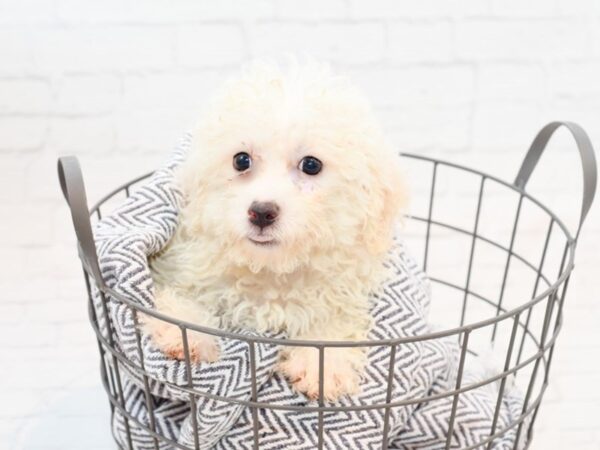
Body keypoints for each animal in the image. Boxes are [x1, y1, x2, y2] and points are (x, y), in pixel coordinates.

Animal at [146, 60, 408, 400]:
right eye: (241, 160)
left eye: (311, 165)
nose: (261, 212)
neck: (271, 271)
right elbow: (182, 301)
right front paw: (181, 332)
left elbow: (334, 321)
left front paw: (322, 366)